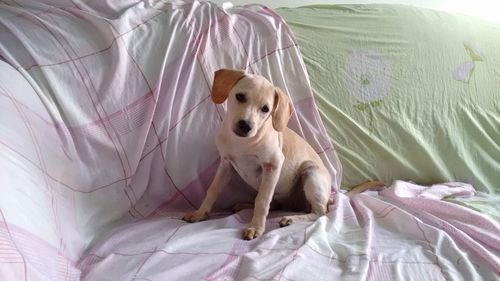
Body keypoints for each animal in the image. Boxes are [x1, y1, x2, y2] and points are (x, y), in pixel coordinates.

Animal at [184, 68, 336, 238]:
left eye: (265, 109)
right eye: (240, 96)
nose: (245, 126)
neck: (242, 142)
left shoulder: (273, 165)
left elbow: (262, 200)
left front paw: (256, 227)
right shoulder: (225, 164)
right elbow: (213, 190)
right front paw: (200, 213)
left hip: (310, 171)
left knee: (319, 212)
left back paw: (291, 218)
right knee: (276, 205)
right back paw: (243, 204)